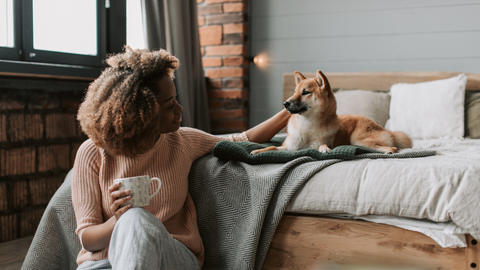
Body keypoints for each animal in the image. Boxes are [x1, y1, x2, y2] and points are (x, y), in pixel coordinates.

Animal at [251, 68, 412, 155]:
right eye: (295, 92)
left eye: (305, 92)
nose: (285, 104)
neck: (306, 127)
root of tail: (385, 129)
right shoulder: (287, 147)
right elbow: (272, 146)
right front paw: (257, 151)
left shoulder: (320, 142)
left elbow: (322, 145)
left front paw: (324, 149)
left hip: (358, 139)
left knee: (393, 147)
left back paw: (388, 151)